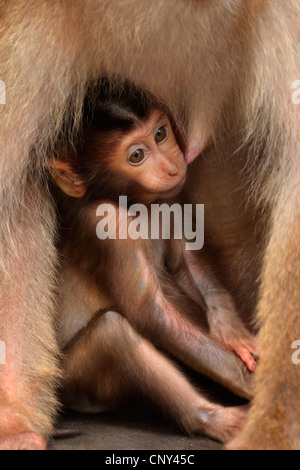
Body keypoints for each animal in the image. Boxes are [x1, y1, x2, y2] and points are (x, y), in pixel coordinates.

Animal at [48, 79, 255, 442]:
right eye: (136, 156)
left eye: (160, 134)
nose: (172, 166)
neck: (131, 203)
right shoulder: (108, 226)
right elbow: (152, 313)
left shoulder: (172, 198)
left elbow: (186, 264)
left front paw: (233, 331)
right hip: (73, 381)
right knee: (114, 334)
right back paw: (213, 419)